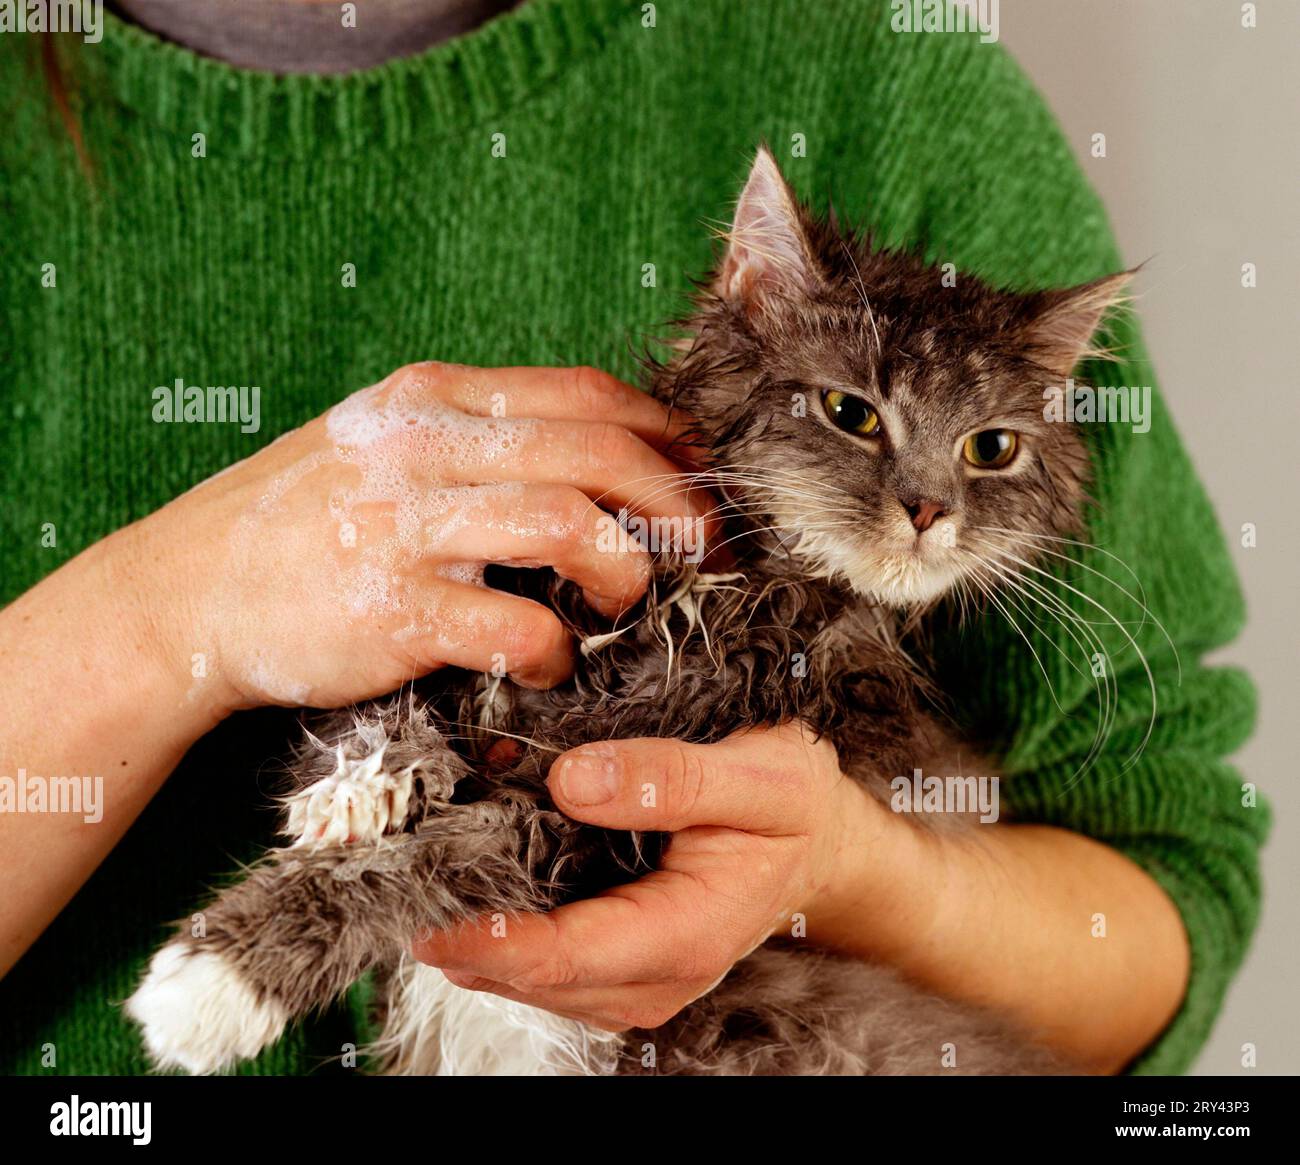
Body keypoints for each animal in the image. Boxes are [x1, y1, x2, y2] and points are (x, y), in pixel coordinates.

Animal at [129, 150, 1128, 1076]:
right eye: (852, 411)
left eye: (990, 448)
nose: (929, 510)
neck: (719, 592)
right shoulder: (490, 591)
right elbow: (388, 698)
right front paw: (361, 784)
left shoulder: (581, 825)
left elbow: (417, 869)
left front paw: (218, 982)